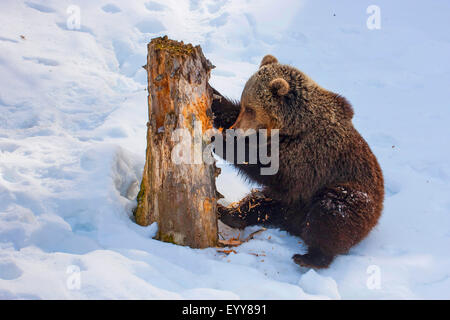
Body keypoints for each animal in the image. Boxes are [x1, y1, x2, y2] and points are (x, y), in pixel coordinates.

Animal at [210, 54, 384, 268]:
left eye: (250, 108)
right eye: (243, 105)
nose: (235, 129)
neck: (291, 128)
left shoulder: (307, 155)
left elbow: (268, 168)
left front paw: (220, 141)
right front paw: (214, 96)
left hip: (348, 195)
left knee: (331, 213)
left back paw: (311, 257)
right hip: (288, 202)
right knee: (258, 203)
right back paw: (228, 213)